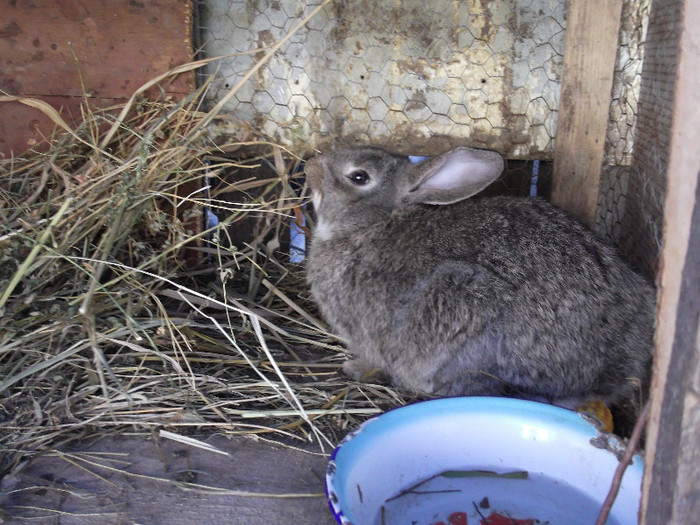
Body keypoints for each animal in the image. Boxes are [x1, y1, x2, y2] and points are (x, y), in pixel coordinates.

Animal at [306, 144, 656, 406]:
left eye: (359, 176)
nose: (309, 166)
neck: (372, 224)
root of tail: (613, 369)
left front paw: (356, 367)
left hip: (465, 304)